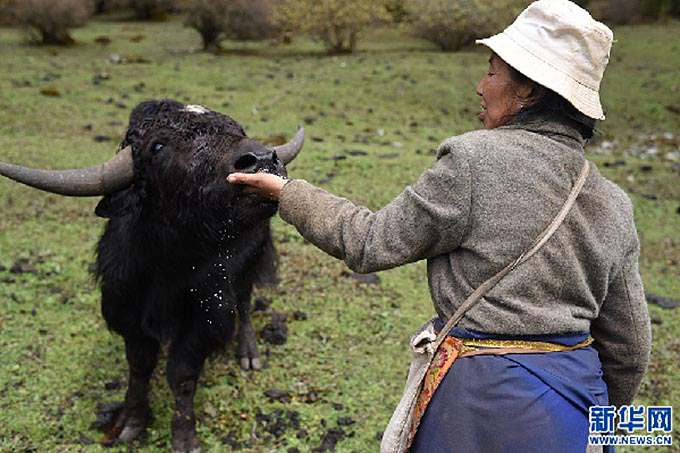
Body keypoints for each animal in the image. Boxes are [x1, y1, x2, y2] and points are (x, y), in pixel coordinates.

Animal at [0, 100, 304, 453]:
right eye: (157, 147)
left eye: (237, 129)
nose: (264, 159)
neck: (166, 267)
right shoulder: (125, 313)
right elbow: (139, 366)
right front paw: (130, 422)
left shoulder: (207, 318)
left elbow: (182, 375)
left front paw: (185, 437)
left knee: (244, 303)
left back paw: (249, 353)